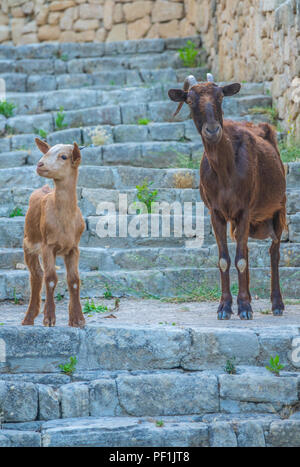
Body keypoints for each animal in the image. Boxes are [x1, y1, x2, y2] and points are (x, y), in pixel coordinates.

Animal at [21, 139, 85, 330]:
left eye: (63, 156)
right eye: (47, 152)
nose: (40, 164)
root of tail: (45, 188)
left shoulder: (73, 248)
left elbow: (74, 280)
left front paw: (77, 320)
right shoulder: (47, 246)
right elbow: (50, 279)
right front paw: (49, 319)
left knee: (38, 274)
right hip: (28, 243)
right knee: (36, 275)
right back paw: (29, 318)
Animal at [169, 75, 286, 320]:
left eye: (221, 96)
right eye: (190, 100)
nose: (213, 130)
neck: (225, 171)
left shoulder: (244, 210)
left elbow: (240, 260)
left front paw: (244, 308)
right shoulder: (216, 213)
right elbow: (224, 260)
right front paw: (225, 307)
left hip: (279, 207)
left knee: (274, 252)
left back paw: (277, 304)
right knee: (249, 250)